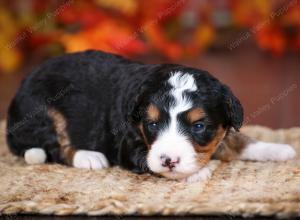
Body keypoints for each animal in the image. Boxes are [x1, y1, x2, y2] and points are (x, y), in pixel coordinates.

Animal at [5, 49, 296, 182]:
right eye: (152, 124)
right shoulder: (129, 145)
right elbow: (149, 161)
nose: (169, 160)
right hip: (43, 110)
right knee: (56, 146)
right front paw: (193, 173)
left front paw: (278, 149)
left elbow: (236, 140)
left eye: (199, 126)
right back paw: (88, 157)